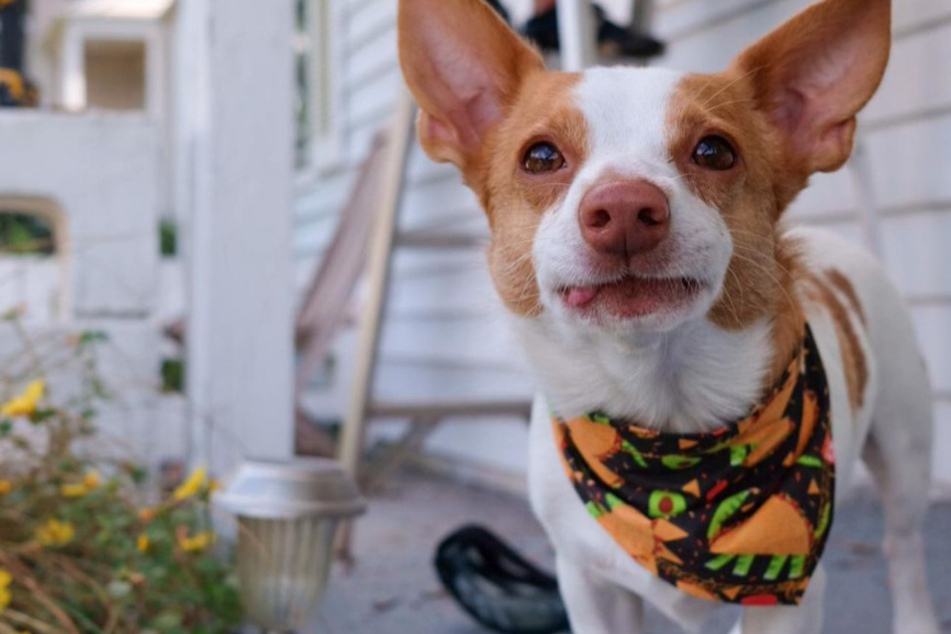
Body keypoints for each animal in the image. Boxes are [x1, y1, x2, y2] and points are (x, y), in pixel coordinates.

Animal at [398, 1, 940, 632]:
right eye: (540, 157)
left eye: (714, 151)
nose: (624, 207)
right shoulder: (586, 582)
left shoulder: (787, 604)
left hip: (905, 453)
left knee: (903, 548)